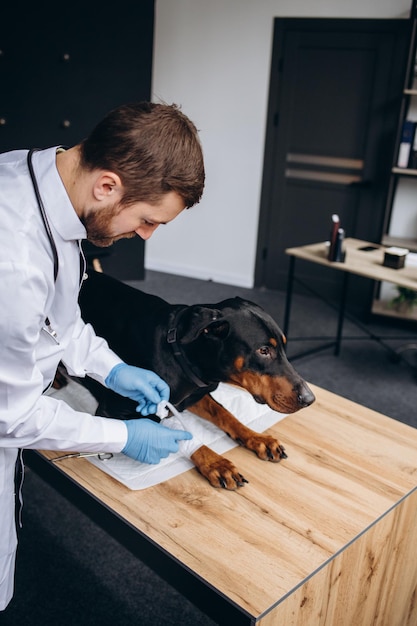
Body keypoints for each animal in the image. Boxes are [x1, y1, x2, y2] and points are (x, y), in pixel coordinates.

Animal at [78, 270, 314, 490]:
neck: (181, 356)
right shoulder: (113, 413)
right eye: (263, 350)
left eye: (283, 345)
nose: (309, 399)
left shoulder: (195, 393)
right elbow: (170, 434)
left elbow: (225, 413)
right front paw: (216, 463)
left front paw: (257, 438)